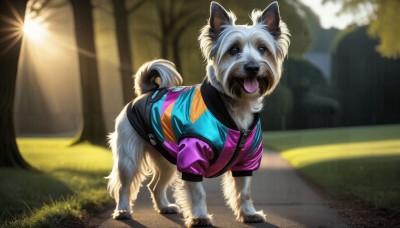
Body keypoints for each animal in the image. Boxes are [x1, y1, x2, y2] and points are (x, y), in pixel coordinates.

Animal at [106, 1, 290, 226]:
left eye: (262, 48)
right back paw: (122, 210)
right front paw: (200, 217)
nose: (253, 67)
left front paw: (248, 213)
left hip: (166, 158)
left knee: (155, 185)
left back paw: (164, 206)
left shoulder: (246, 160)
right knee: (124, 186)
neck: (235, 106)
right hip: (129, 158)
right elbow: (198, 193)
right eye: (233, 49)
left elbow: (244, 192)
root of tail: (145, 92)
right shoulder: (192, 157)